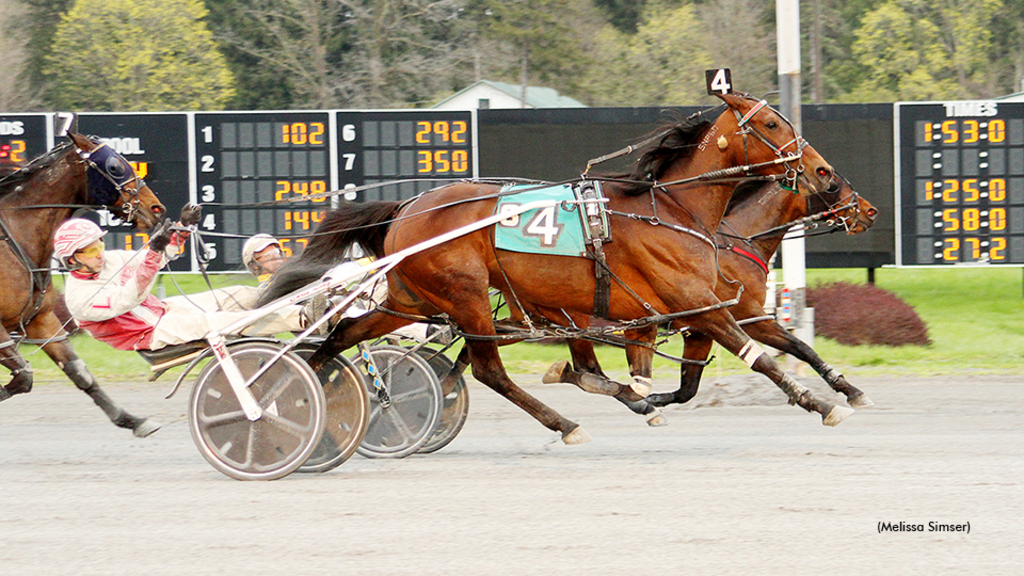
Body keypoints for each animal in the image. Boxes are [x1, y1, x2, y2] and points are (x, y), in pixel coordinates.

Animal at [0, 131, 165, 434]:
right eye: (115, 166)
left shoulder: (41, 319)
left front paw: (132, 420)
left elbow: (79, 372)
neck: (13, 238)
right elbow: (24, 377)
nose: (156, 207)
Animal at [544, 175, 880, 422]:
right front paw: (849, 392)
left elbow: (688, 388)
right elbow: (799, 347)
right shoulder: (744, 316)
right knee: (586, 366)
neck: (739, 243)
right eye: (833, 182)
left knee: (586, 367)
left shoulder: (702, 328)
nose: (869, 210)